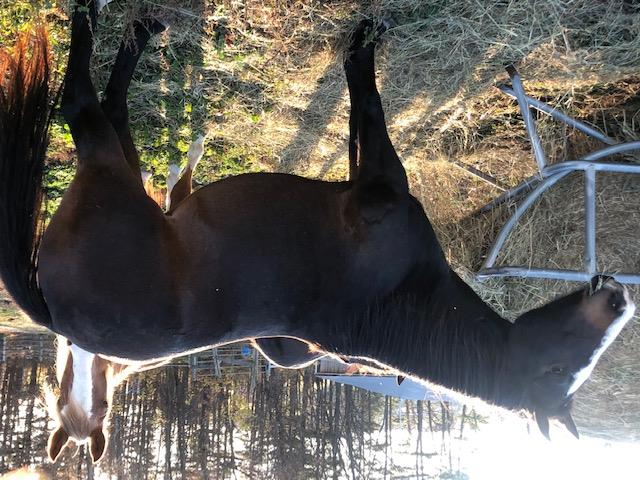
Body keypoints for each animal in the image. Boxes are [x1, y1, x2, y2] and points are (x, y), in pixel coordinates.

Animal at [0, 1, 634, 460]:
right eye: (561, 367)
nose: (621, 298)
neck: (395, 301)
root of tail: (55, 315)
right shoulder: (375, 183)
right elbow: (366, 106)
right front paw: (365, 40)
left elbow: (364, 108)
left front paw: (363, 41)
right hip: (114, 166)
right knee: (83, 101)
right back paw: (114, 23)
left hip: (115, 168)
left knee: (97, 105)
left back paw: (129, 27)